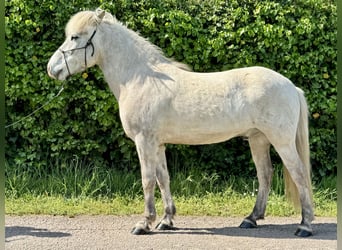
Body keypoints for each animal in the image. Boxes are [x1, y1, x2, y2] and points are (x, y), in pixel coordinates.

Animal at [46, 8, 314, 237]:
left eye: (75, 37)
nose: (52, 69)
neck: (140, 78)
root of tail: (291, 86)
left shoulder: (144, 141)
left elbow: (147, 180)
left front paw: (144, 223)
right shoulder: (158, 144)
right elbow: (163, 179)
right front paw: (166, 220)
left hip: (281, 141)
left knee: (300, 174)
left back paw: (305, 226)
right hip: (258, 139)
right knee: (265, 174)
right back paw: (251, 218)